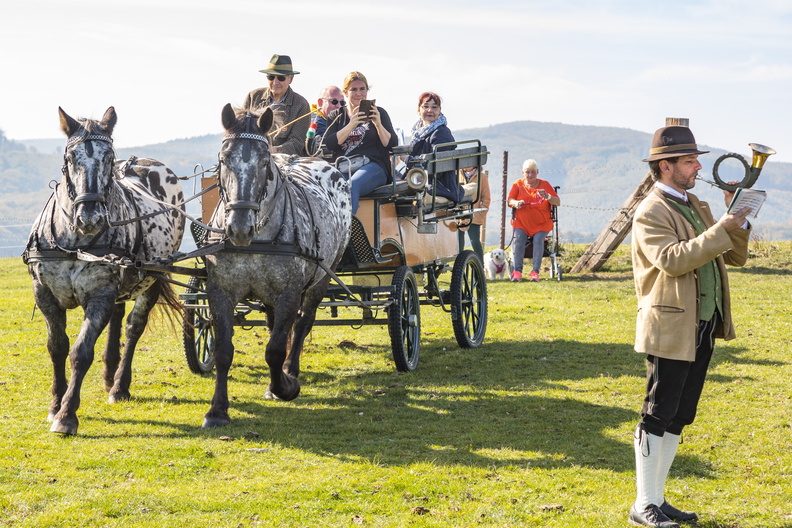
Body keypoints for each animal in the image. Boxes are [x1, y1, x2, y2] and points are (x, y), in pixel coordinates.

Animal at [23, 105, 186, 436]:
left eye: (109, 158)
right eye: (70, 158)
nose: (91, 217)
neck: (74, 242)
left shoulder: (100, 295)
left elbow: (81, 352)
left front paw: (66, 415)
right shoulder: (44, 294)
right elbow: (57, 347)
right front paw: (55, 404)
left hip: (152, 278)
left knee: (133, 327)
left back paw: (120, 385)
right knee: (118, 317)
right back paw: (110, 374)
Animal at [203, 104, 352, 428]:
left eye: (264, 162)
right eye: (223, 160)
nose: (239, 228)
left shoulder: (290, 292)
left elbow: (274, 349)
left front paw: (285, 386)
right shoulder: (220, 291)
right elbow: (223, 351)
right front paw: (217, 411)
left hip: (322, 277)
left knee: (303, 323)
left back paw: (290, 370)